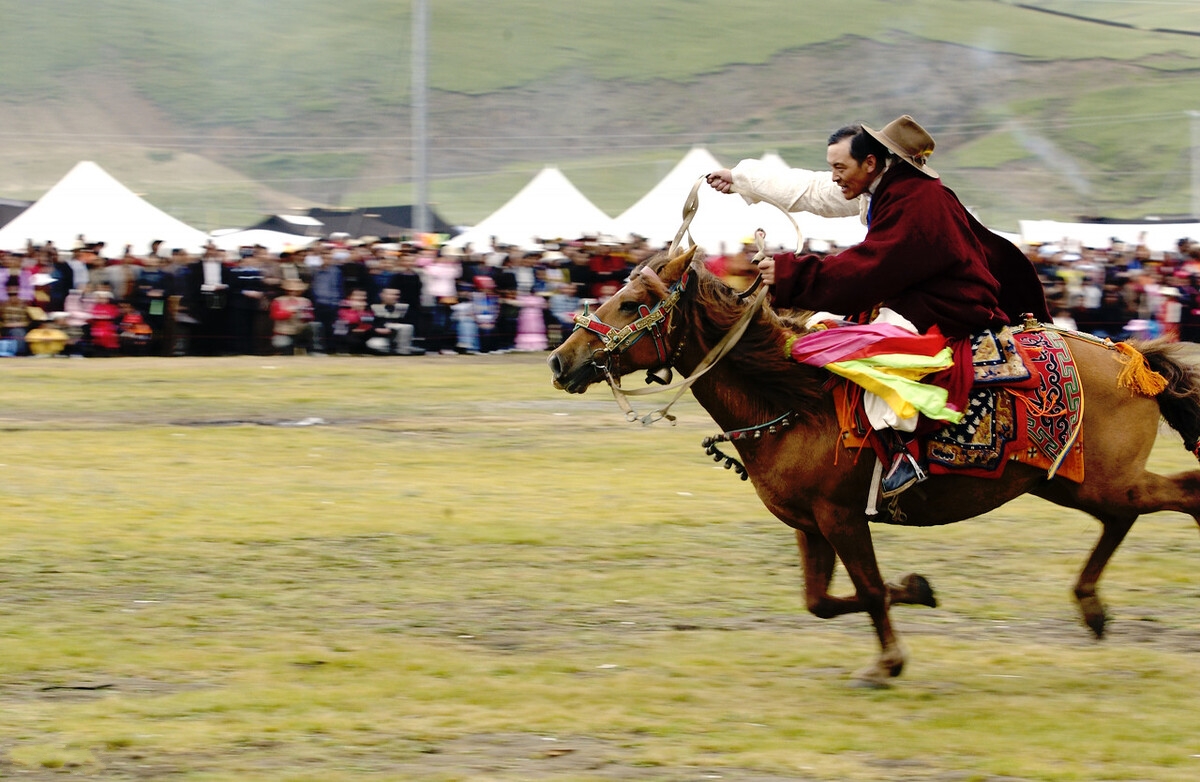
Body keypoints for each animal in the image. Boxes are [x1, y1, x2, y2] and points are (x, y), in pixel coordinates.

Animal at [549, 247, 1200, 686]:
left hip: (1100, 482)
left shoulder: (841, 517)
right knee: (1128, 516)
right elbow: (823, 599)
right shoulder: (809, 524)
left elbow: (865, 587)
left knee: (1183, 493)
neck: (796, 400)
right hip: (1071, 483)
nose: (560, 361)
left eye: (634, 303)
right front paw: (917, 589)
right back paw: (1091, 607)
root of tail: (1135, 359)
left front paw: (888, 662)